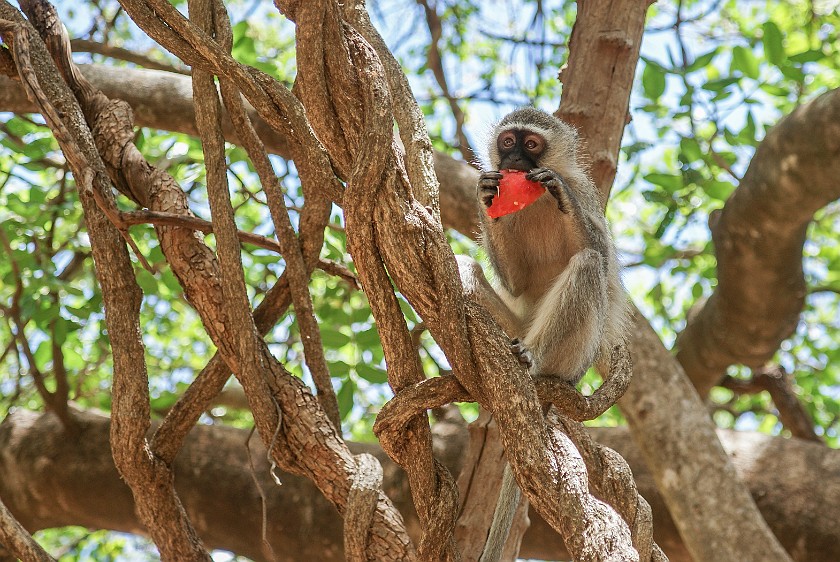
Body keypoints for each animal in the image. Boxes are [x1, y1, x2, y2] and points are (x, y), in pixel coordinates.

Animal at [460, 107, 632, 556]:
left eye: (532, 144)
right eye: (507, 142)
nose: (514, 159)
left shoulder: (586, 195)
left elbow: (599, 255)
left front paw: (560, 194)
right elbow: (516, 281)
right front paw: (485, 195)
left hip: (572, 356)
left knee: (588, 264)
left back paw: (531, 359)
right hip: (514, 326)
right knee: (465, 269)